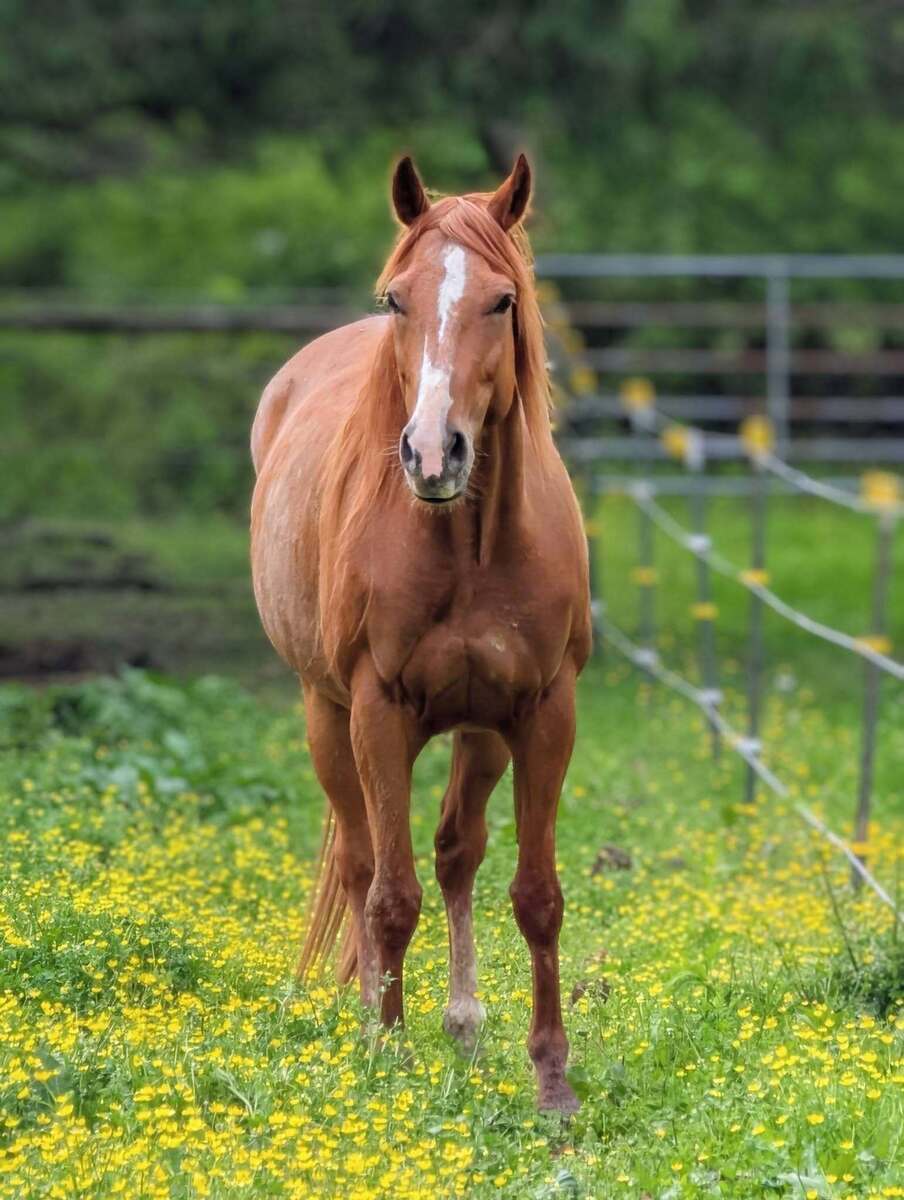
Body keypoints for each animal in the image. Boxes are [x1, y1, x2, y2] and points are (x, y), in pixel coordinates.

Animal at [249, 154, 591, 1113]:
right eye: (396, 299)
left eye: (503, 301)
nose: (434, 453)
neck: (466, 545)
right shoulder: (379, 710)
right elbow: (390, 897)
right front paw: (386, 1055)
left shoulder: (542, 713)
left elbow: (535, 894)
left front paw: (551, 1080)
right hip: (326, 716)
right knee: (366, 865)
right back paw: (374, 1018)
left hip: (480, 732)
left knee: (455, 854)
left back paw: (465, 1027)